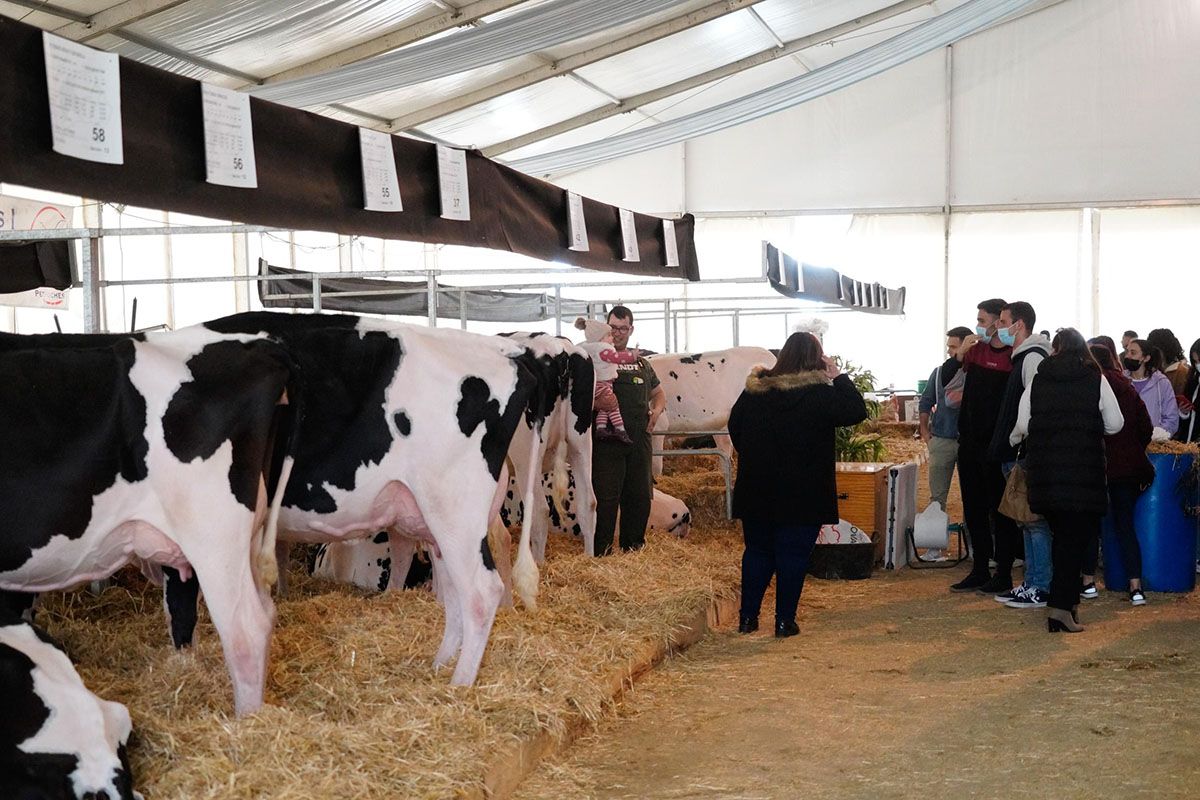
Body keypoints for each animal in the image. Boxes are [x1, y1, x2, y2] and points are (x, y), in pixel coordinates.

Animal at [0, 328, 290, 714]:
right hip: (249, 535)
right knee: (264, 613)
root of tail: (258, 342)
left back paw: (247, 721)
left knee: (246, 630)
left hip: (214, 538)